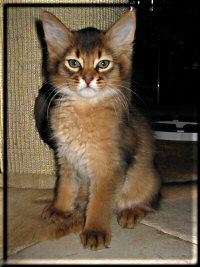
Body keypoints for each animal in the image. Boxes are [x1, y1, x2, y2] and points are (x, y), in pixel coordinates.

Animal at [39, 9, 160, 251]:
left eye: (103, 63)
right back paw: (81, 202)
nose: (87, 79)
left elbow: (101, 203)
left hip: (146, 178)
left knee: (149, 201)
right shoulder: (66, 157)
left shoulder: (109, 167)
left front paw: (95, 230)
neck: (83, 111)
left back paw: (132, 211)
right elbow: (64, 187)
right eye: (74, 63)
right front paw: (60, 209)